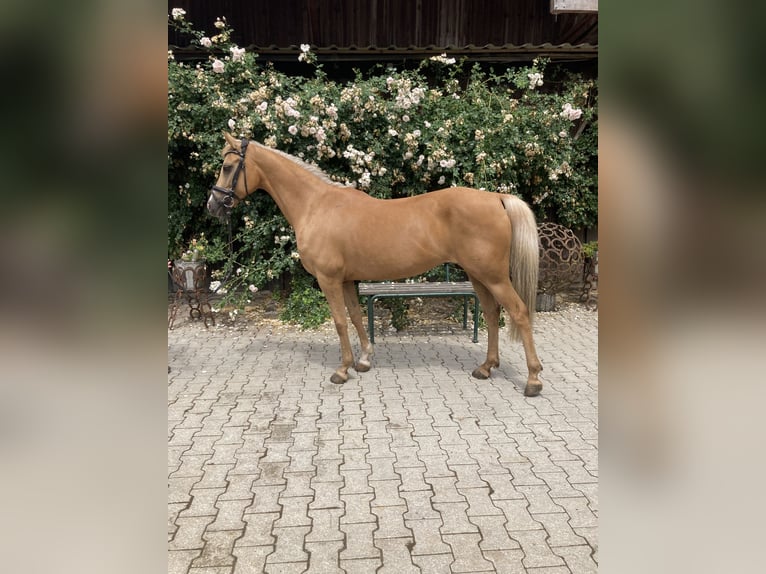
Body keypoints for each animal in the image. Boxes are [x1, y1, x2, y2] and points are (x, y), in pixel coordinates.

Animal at [208, 132, 544, 396]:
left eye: (227, 167)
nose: (213, 206)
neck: (317, 206)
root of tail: (497, 198)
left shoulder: (329, 279)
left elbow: (340, 322)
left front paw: (342, 370)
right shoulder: (347, 280)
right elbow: (356, 318)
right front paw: (364, 360)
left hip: (493, 277)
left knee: (519, 312)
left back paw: (533, 379)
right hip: (478, 276)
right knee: (491, 314)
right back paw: (486, 368)